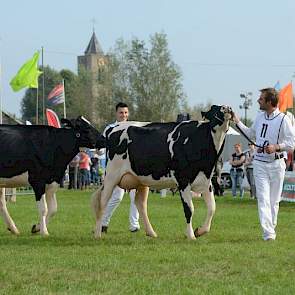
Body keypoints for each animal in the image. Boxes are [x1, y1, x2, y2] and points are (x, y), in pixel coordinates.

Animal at [93, 106, 234, 240]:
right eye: (215, 108)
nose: (227, 108)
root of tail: (113, 128)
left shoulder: (206, 181)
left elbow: (212, 208)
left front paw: (200, 231)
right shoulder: (183, 180)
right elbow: (189, 209)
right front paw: (190, 235)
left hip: (141, 180)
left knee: (140, 203)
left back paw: (151, 233)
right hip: (111, 176)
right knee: (102, 203)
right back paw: (98, 234)